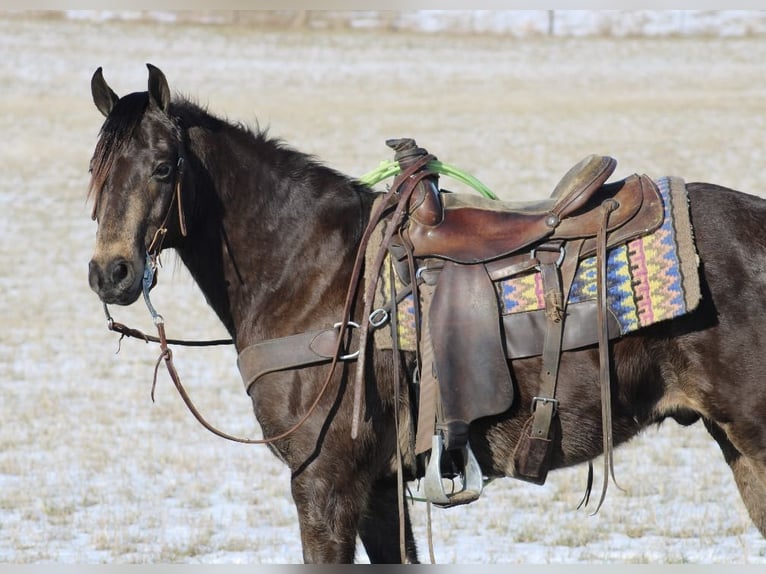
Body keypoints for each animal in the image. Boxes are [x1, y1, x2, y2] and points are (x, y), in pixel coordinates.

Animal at [87, 63, 766, 564]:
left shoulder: (324, 482)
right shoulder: (380, 489)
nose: (109, 273)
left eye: (163, 166)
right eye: (95, 172)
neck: (309, 270)